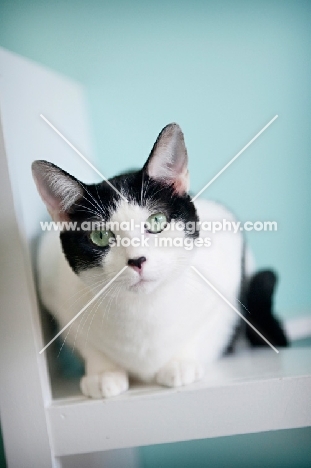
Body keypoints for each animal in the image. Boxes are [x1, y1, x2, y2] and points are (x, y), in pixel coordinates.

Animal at [31, 123, 288, 398]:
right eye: (99, 236)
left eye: (157, 221)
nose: (137, 260)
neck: (143, 309)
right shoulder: (54, 288)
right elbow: (89, 344)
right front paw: (103, 372)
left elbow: (203, 329)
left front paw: (180, 362)